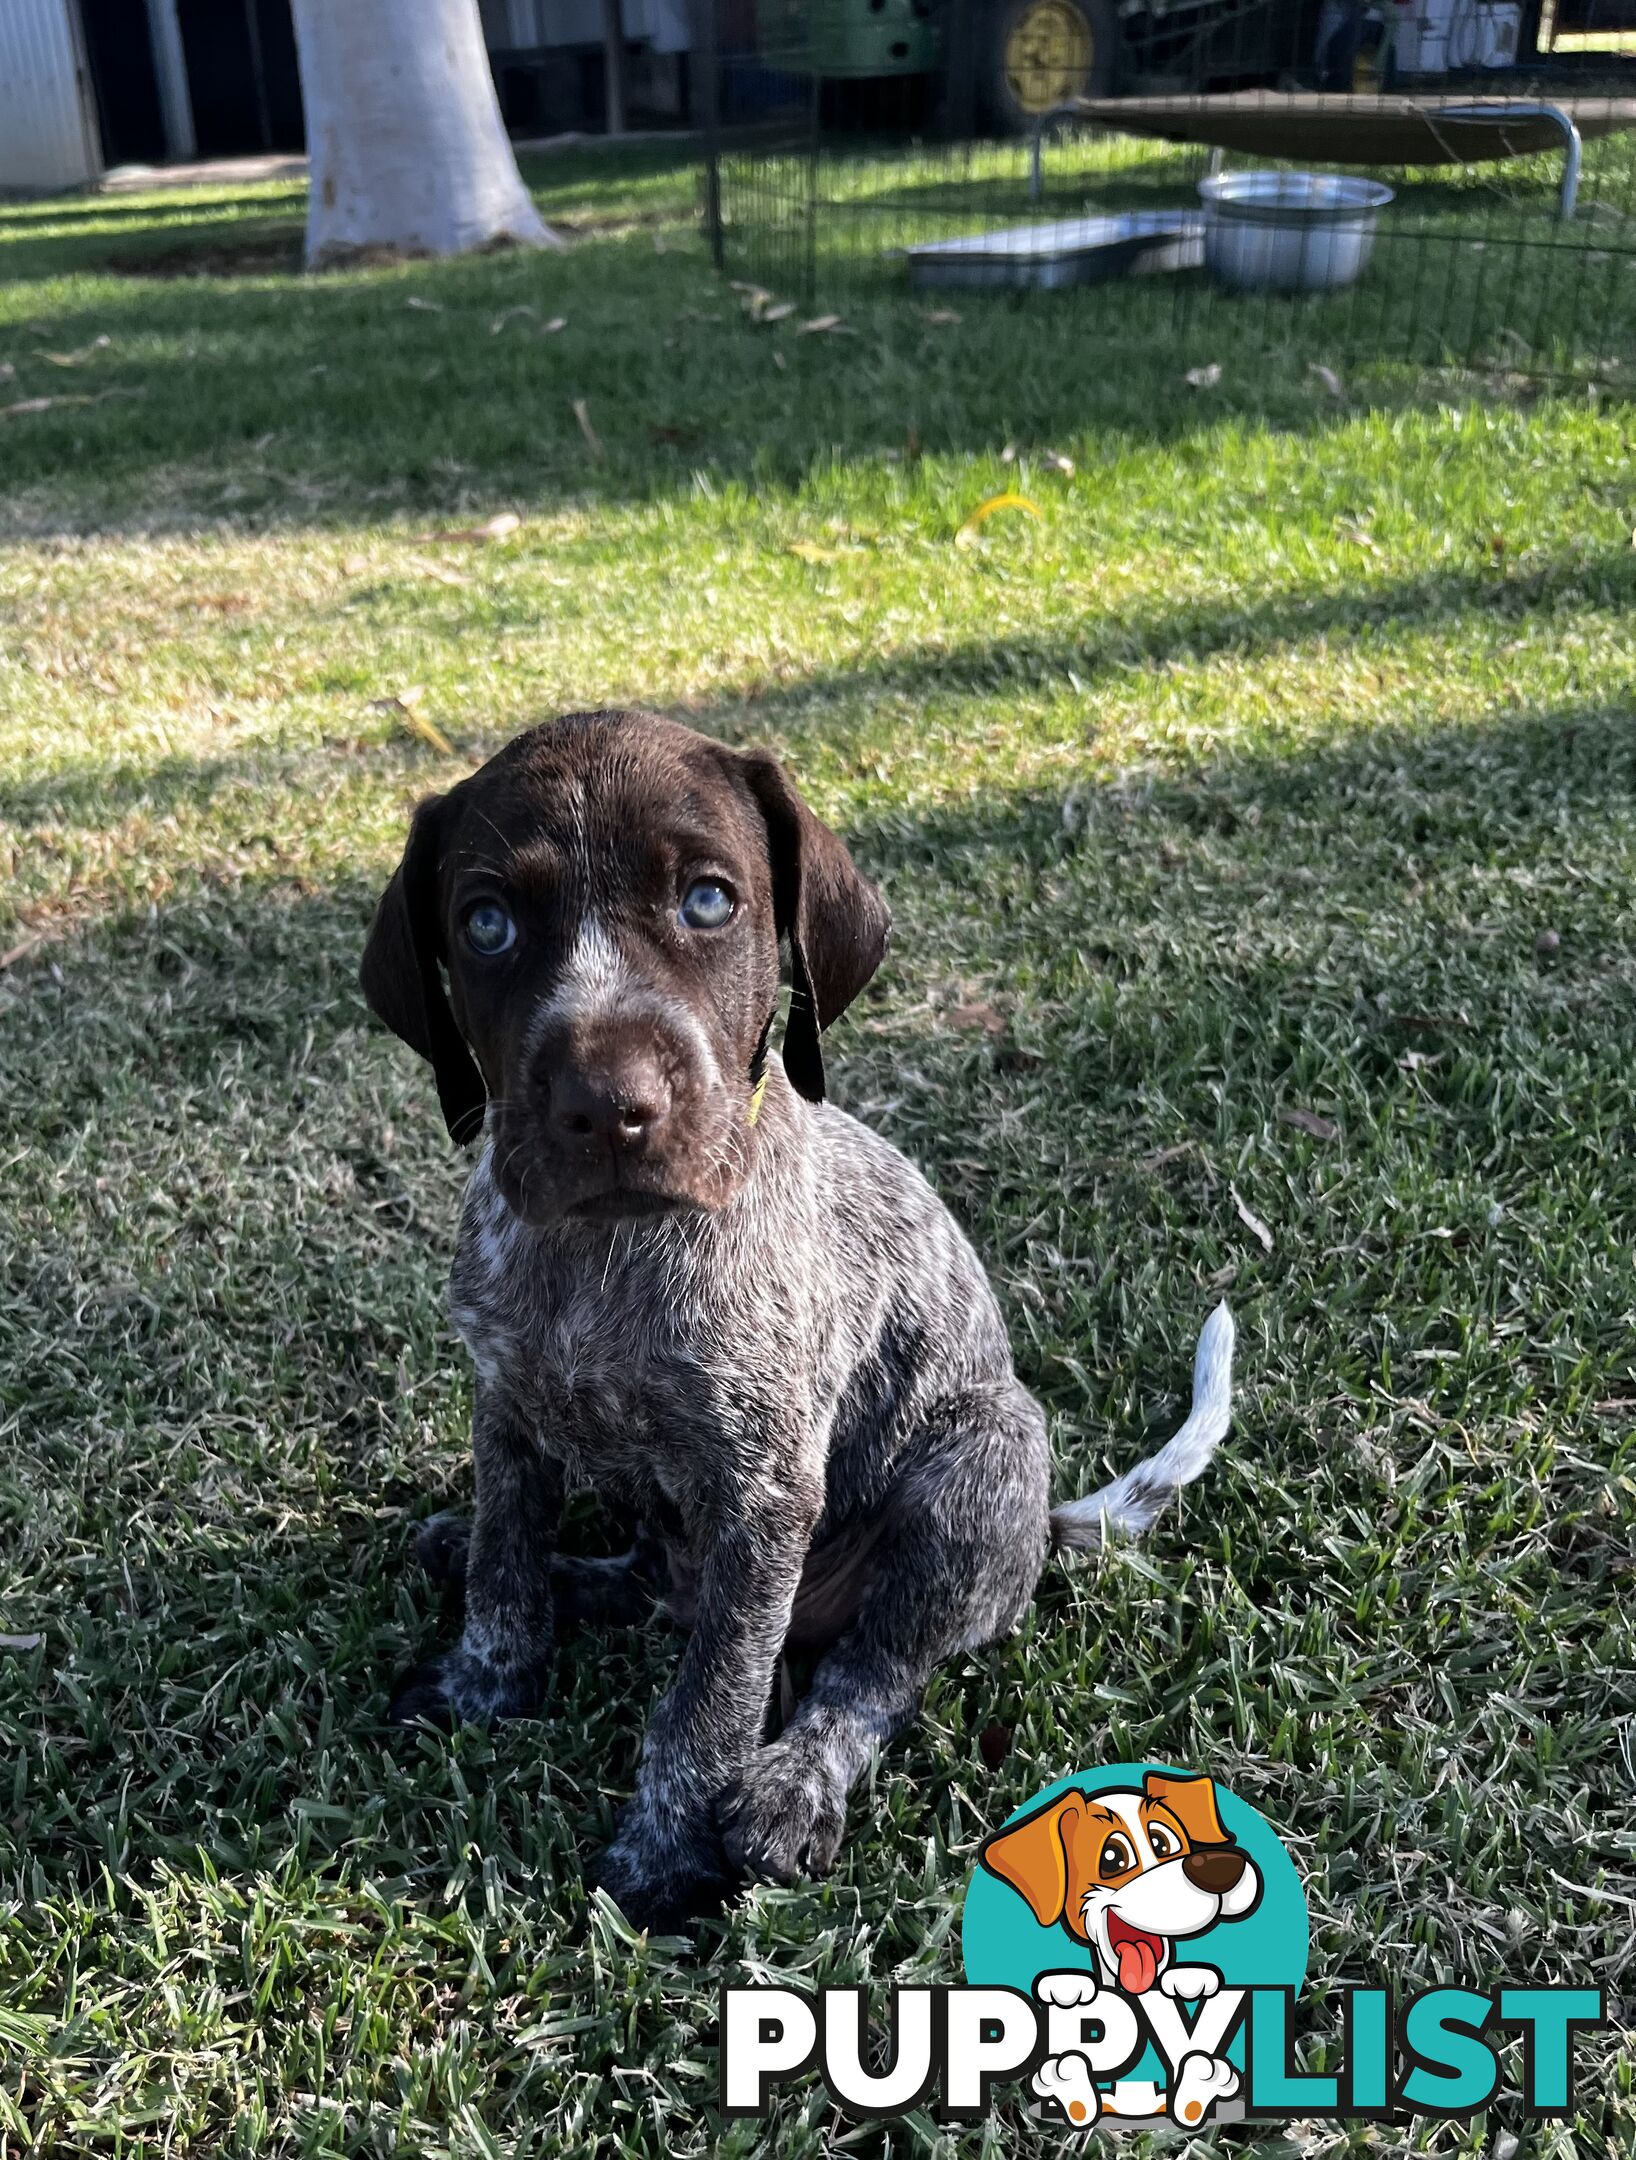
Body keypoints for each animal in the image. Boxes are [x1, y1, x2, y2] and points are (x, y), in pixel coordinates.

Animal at [354, 717, 1227, 1935]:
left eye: (708, 901)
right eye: (485, 924)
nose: (606, 1109)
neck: (600, 1257)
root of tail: (1044, 1531)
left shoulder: (764, 1490)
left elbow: (711, 1701)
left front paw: (665, 1855)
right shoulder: (507, 1408)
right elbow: (504, 1563)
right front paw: (486, 1675)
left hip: (977, 1465)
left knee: (865, 1675)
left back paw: (792, 1787)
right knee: (649, 1587)